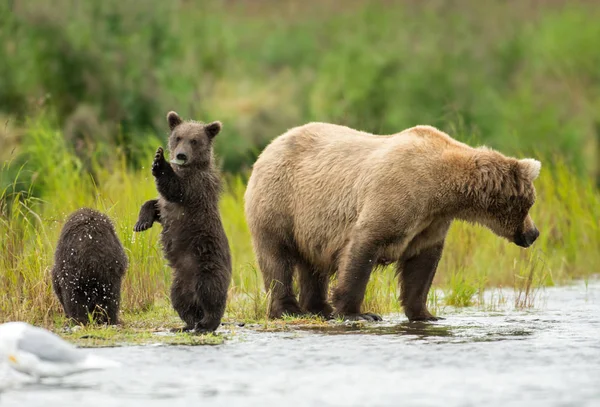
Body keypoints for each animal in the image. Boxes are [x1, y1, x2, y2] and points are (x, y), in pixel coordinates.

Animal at [241, 121, 540, 322]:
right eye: (529, 204)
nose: (533, 233)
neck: (442, 191)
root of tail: (270, 146)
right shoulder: (396, 194)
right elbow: (364, 247)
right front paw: (358, 313)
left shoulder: (430, 222)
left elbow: (421, 266)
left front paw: (426, 313)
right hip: (280, 202)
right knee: (276, 257)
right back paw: (288, 309)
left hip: (311, 224)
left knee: (313, 266)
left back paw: (319, 308)